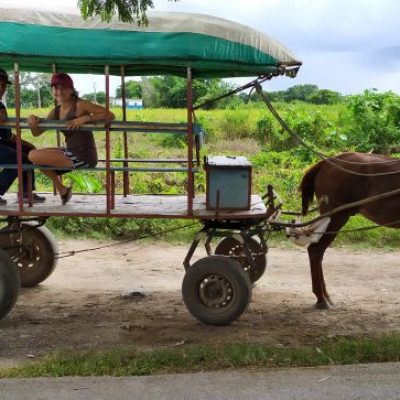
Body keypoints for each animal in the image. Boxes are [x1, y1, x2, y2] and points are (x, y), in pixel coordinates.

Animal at [300, 152, 400, 308]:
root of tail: (326, 162)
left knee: (318, 252)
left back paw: (325, 296)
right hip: (336, 216)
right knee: (315, 250)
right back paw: (321, 298)